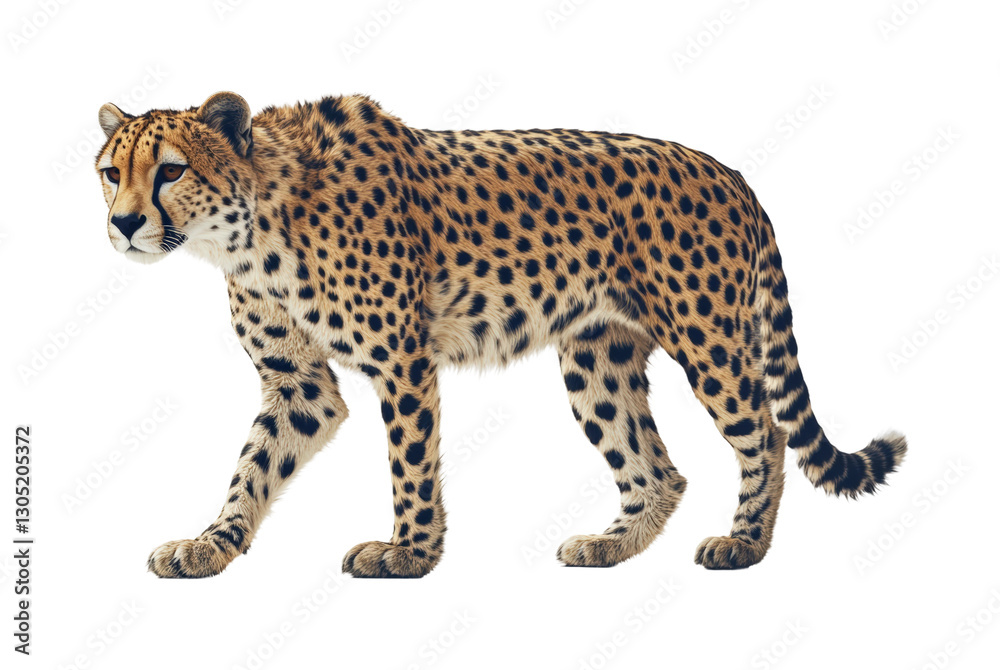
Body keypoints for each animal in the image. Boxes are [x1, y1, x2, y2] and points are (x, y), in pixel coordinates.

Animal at [94, 91, 907, 578]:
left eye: (170, 171)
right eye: (109, 172)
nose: (124, 223)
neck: (251, 232)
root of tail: (729, 170)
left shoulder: (403, 363)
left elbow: (410, 465)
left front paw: (409, 553)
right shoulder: (300, 386)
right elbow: (253, 467)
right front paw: (209, 544)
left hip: (708, 341)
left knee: (764, 433)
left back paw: (743, 542)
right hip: (597, 360)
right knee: (658, 469)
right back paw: (610, 545)